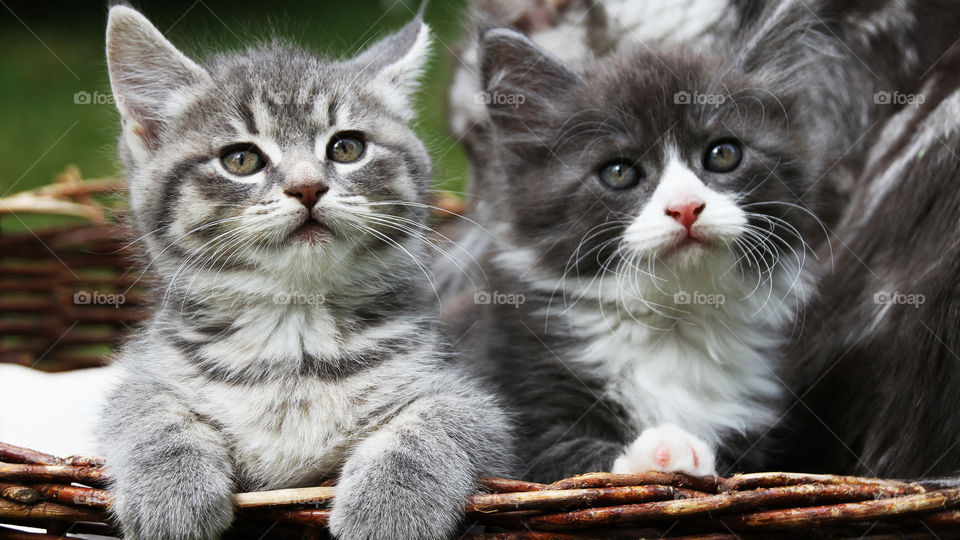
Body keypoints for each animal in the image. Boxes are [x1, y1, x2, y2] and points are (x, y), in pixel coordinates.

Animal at [101, 5, 512, 540]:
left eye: (346, 147)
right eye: (241, 159)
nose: (308, 187)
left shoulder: (473, 403)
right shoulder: (152, 368)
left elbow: (441, 419)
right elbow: (143, 410)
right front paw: (171, 489)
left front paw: (390, 505)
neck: (294, 329)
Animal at [442, 25, 824, 480]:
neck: (673, 322)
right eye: (619, 172)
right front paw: (665, 449)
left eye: (724, 154)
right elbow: (554, 460)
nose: (686, 207)